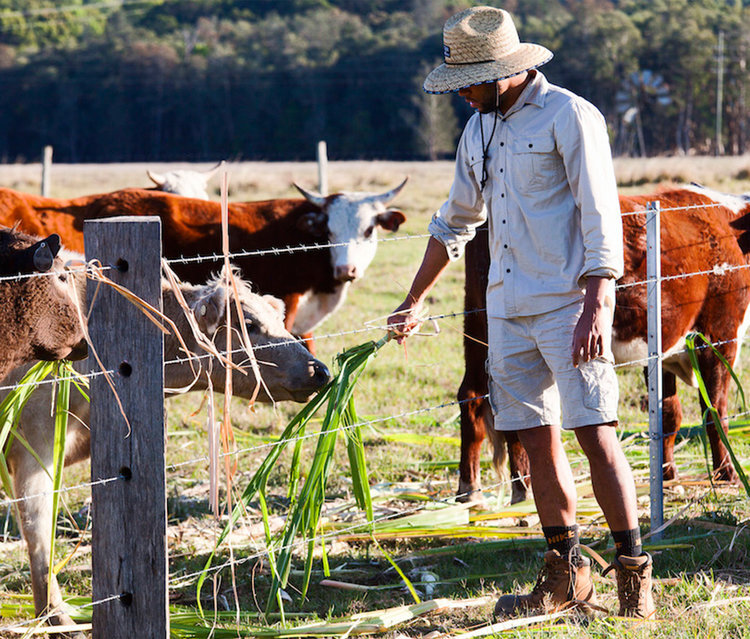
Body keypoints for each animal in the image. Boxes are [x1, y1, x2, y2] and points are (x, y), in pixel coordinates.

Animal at [4, 262, 328, 636]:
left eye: (279, 319)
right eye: (249, 325)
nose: (320, 370)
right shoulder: (34, 446)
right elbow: (39, 531)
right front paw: (57, 618)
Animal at [458, 185, 750, 504]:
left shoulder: (663, 345)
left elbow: (669, 415)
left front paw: (668, 475)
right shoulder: (719, 337)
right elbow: (715, 411)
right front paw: (728, 475)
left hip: (477, 330)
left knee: (471, 397)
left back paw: (469, 490)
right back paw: (524, 490)